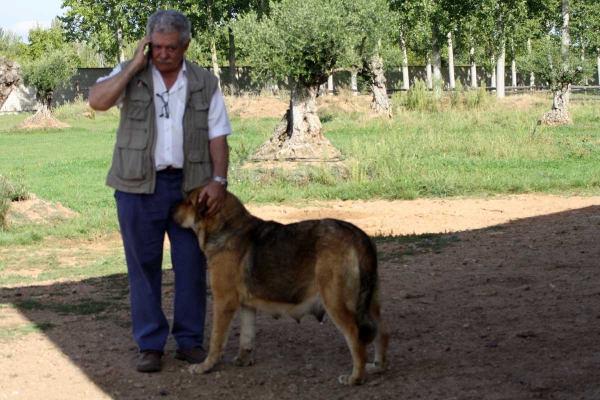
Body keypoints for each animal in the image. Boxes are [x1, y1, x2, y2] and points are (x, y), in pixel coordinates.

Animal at [173, 189, 390, 386]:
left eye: (189, 202)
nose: (171, 208)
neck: (227, 229)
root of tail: (359, 236)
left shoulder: (223, 302)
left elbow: (216, 341)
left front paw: (204, 367)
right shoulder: (247, 306)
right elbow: (246, 337)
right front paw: (243, 361)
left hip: (336, 303)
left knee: (356, 337)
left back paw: (355, 378)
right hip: (370, 303)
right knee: (382, 332)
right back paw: (377, 367)